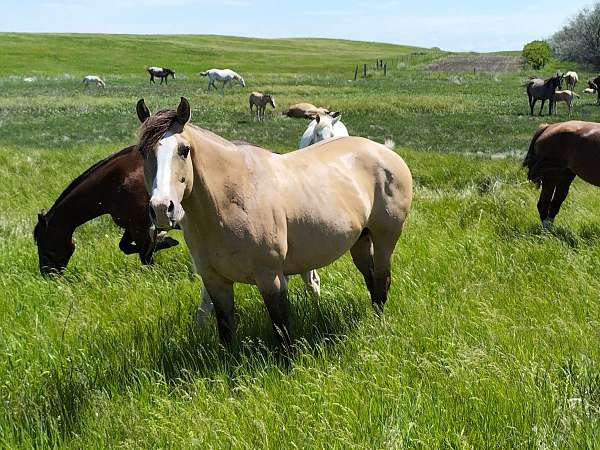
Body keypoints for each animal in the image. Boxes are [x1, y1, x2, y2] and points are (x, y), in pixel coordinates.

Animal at [33, 144, 178, 274]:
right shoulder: (131, 225)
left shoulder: (140, 227)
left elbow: (145, 256)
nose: (47, 275)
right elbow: (125, 247)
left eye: (43, 245)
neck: (116, 182)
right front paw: (164, 241)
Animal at [136, 97, 412, 344]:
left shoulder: (271, 278)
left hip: (386, 238)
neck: (232, 197)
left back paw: (378, 324)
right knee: (370, 277)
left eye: (184, 150)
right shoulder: (215, 282)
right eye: (142, 151)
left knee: (381, 278)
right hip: (360, 239)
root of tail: (385, 151)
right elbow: (226, 332)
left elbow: (281, 331)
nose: (162, 208)